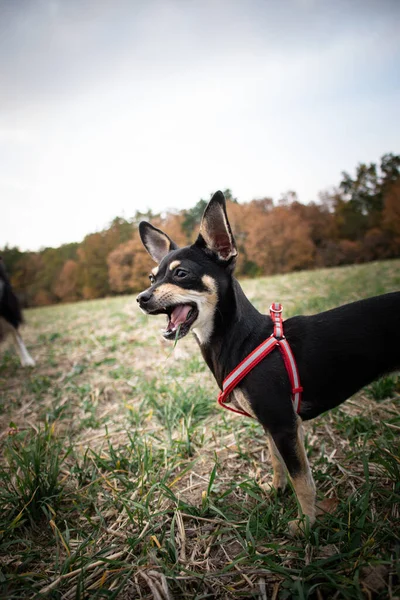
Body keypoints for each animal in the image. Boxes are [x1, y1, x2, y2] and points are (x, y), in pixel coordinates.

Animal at [138, 191, 400, 536]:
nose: (141, 298)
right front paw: (277, 490)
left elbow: (302, 479)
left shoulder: (283, 424)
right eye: (152, 277)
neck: (242, 339)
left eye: (181, 274)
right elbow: (278, 463)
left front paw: (306, 524)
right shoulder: (272, 426)